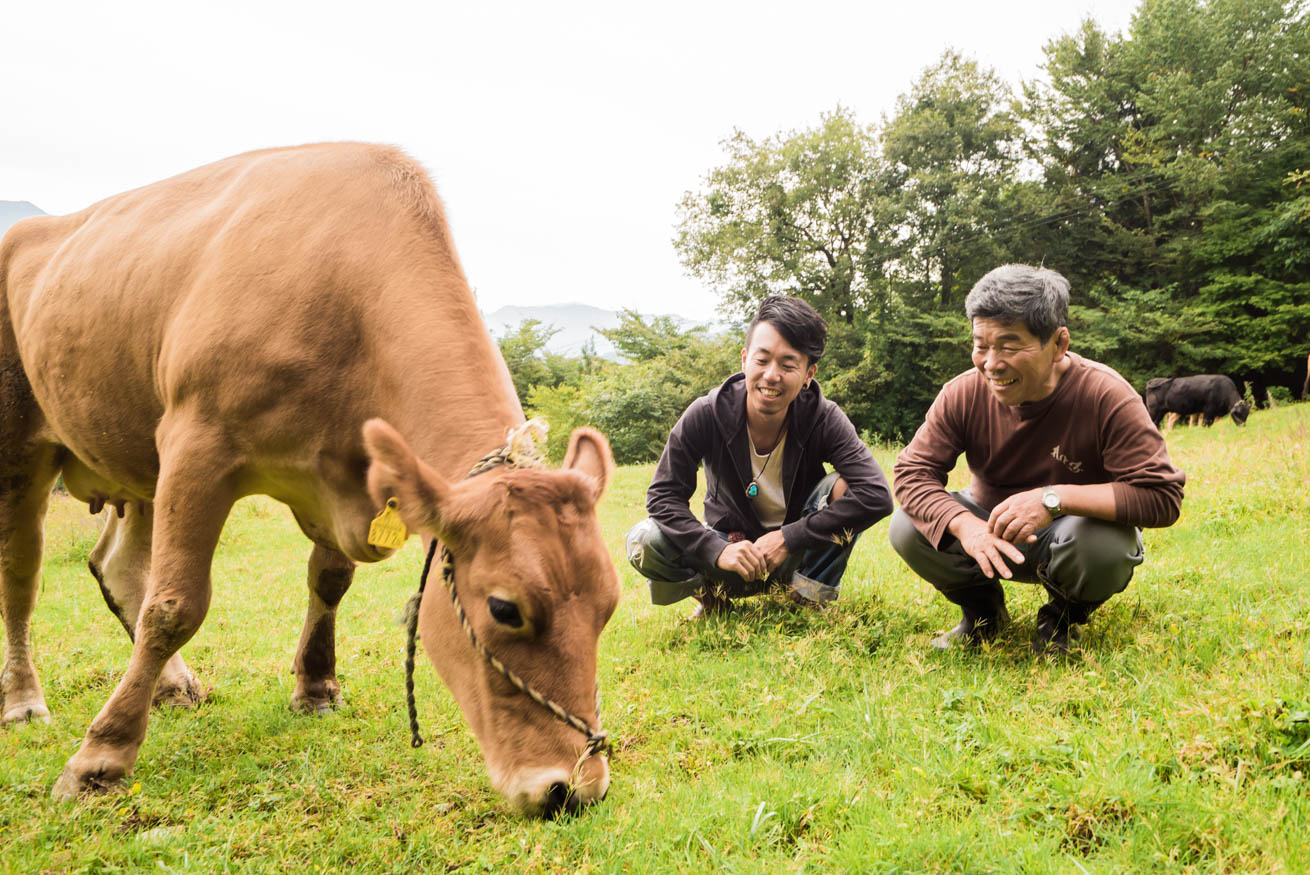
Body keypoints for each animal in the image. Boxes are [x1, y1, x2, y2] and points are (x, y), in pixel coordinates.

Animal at [0, 140, 618, 817]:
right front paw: (100, 759)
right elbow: (175, 606)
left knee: (115, 564)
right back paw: (25, 703)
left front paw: (316, 687)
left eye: (610, 605)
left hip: (132, 455)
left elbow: (329, 579)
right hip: (21, 446)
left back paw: (173, 685)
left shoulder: (344, 478)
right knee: (22, 578)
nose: (572, 789)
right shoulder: (195, 441)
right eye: (506, 609)